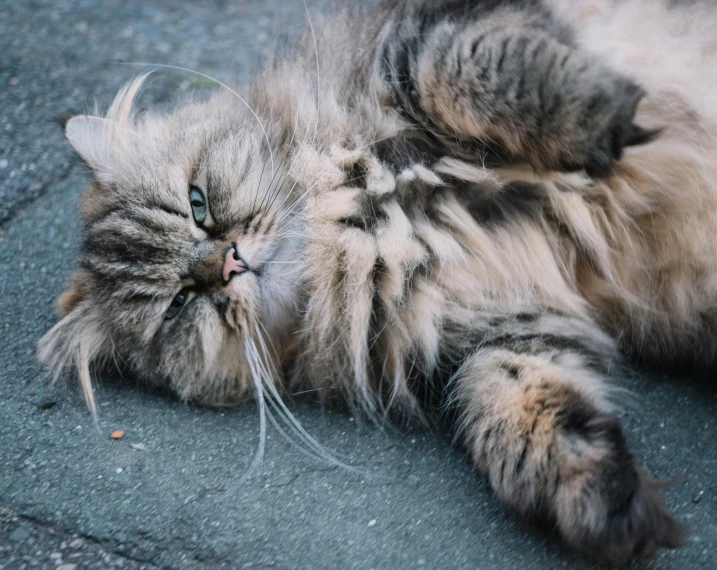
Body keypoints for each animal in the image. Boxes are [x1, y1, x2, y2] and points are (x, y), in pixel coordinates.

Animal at [36, 0, 716, 560]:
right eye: (180, 304)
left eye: (197, 204)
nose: (227, 264)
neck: (356, 228)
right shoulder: (497, 333)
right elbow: (518, 403)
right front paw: (601, 498)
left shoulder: (426, 40)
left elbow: (468, 71)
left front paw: (609, 119)